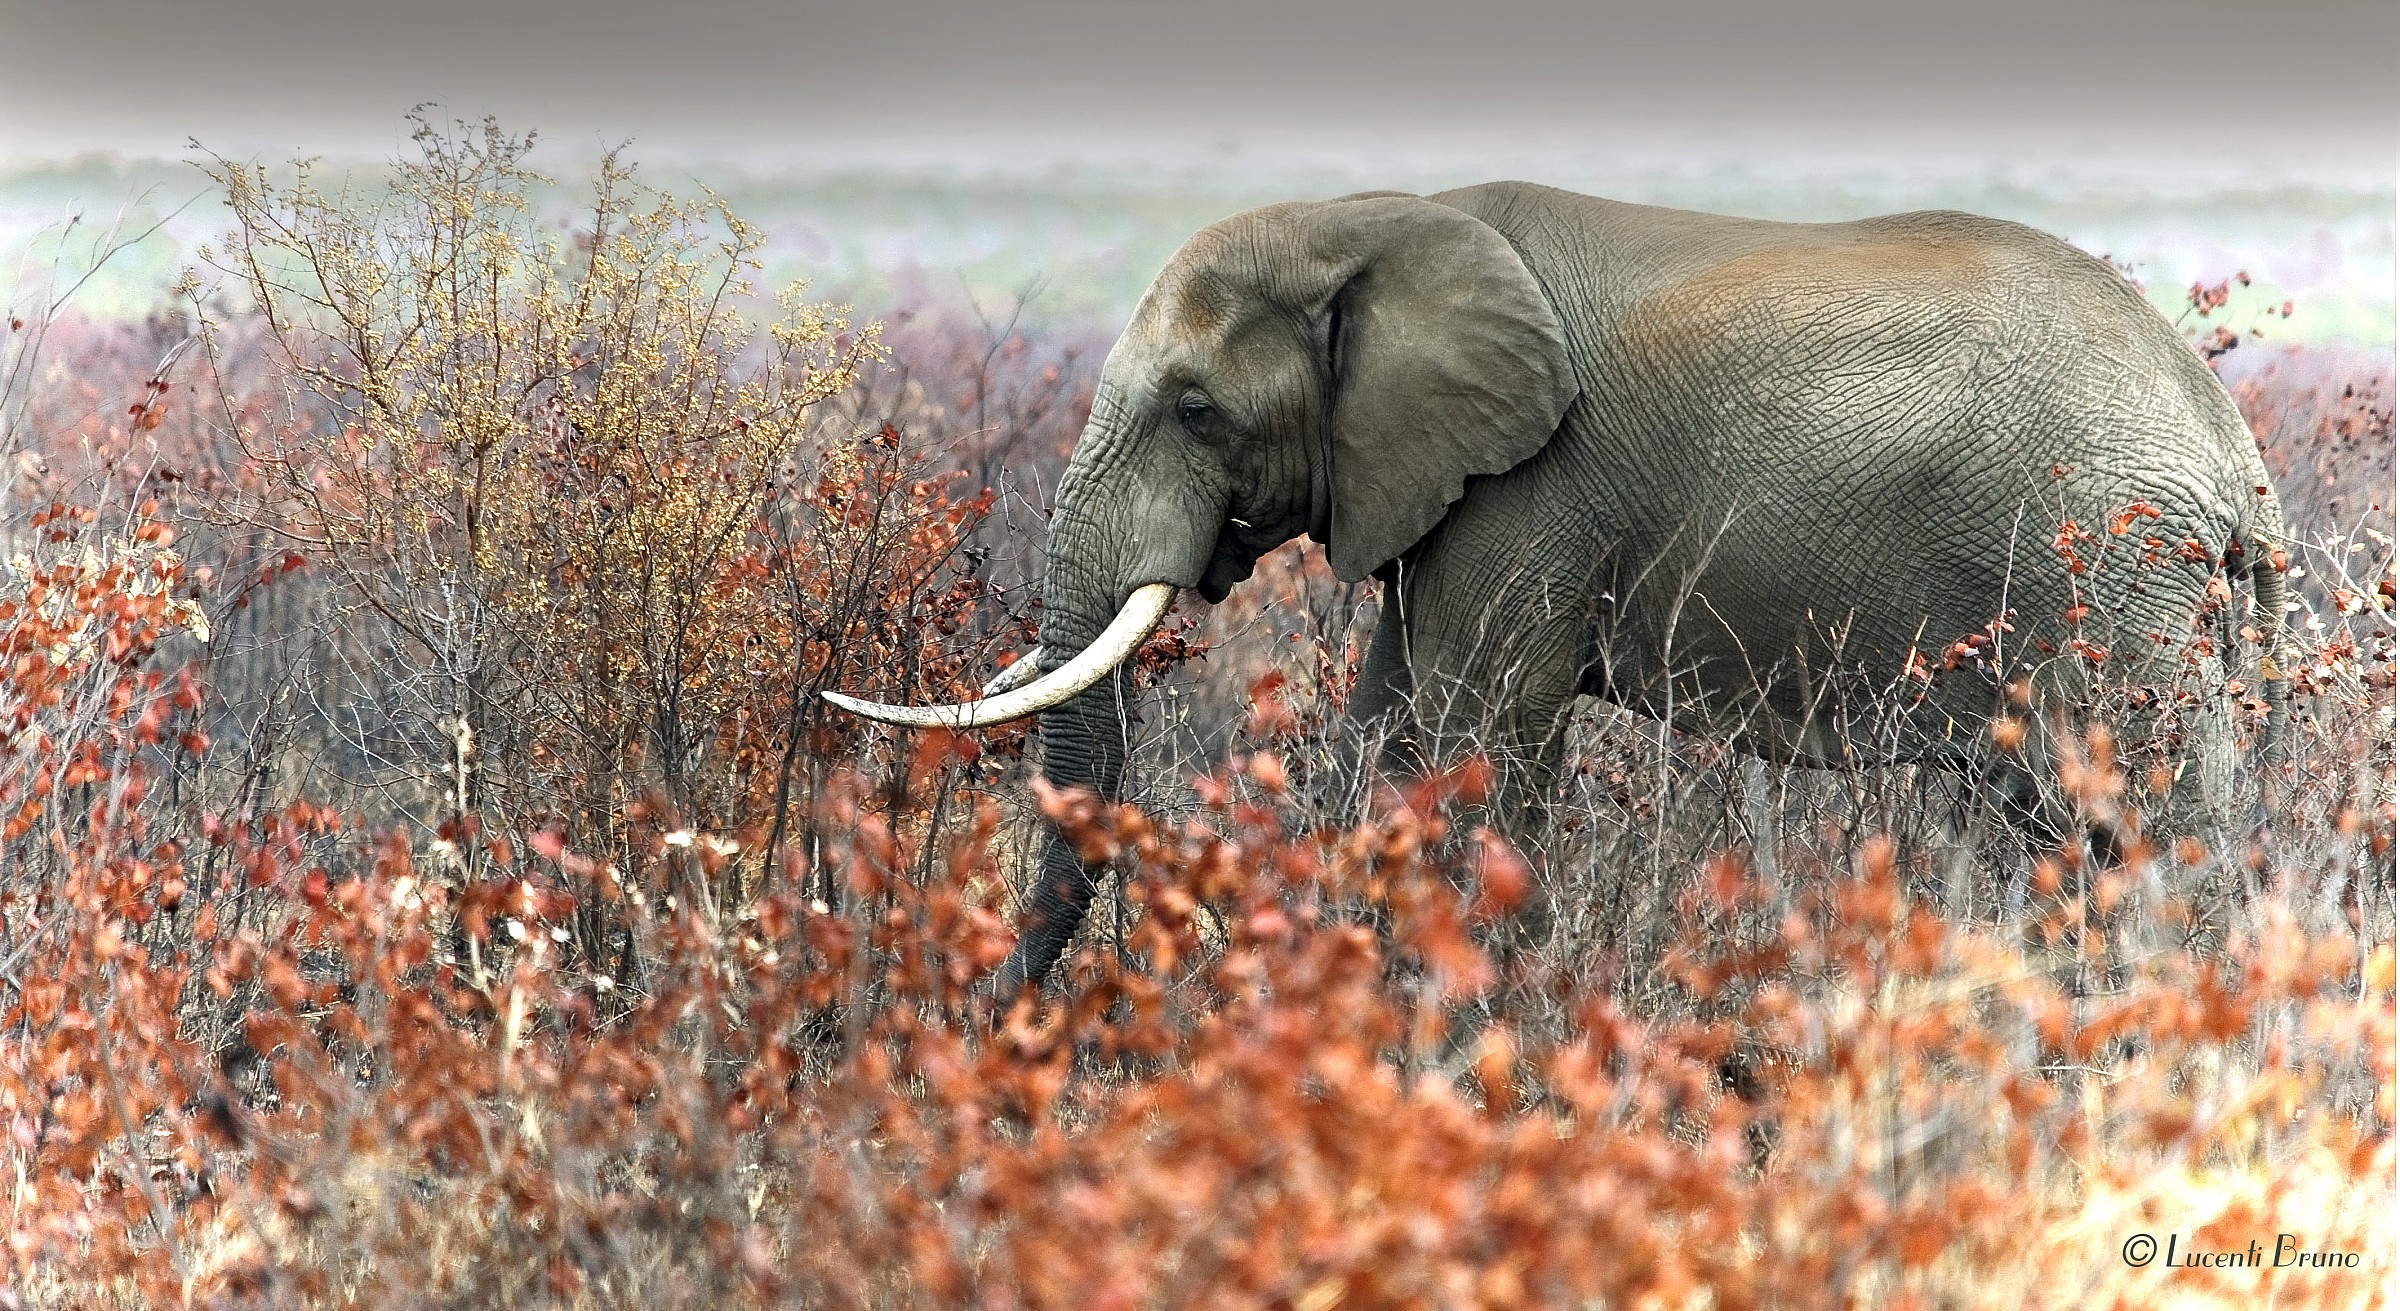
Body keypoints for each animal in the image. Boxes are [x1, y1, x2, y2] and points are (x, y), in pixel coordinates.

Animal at [829, 181, 2291, 997]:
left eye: (1195, 409)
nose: (986, 1014)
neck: (1374, 222)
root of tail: (2233, 460)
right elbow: (1395, 729)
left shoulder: (1532, 485)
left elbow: (1479, 732)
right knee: (2052, 817)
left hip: (2109, 576)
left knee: (2144, 807)